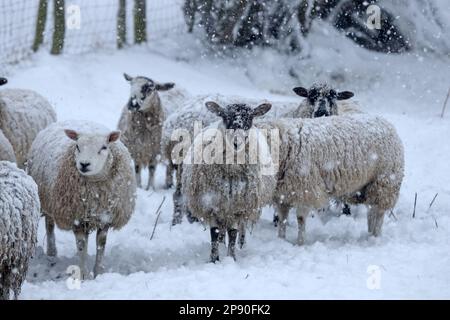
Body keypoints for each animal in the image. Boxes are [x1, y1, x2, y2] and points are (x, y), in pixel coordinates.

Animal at [181, 101, 276, 262]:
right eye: (226, 117)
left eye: (249, 119)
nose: (237, 142)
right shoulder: (211, 204)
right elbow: (214, 232)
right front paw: (214, 259)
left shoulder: (238, 207)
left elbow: (233, 233)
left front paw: (231, 258)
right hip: (223, 206)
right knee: (221, 229)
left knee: (240, 228)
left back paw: (242, 244)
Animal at [255, 114, 406, 244]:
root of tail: (387, 123)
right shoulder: (283, 194)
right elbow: (282, 219)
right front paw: (281, 240)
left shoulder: (306, 191)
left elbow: (301, 219)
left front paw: (300, 243)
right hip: (368, 186)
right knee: (371, 212)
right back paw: (369, 234)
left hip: (385, 182)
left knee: (379, 213)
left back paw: (375, 237)